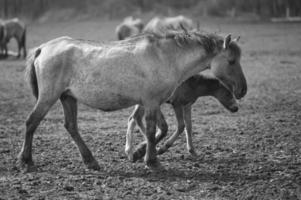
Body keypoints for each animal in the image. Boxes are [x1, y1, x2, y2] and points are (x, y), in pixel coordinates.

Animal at [17, 29, 246, 172]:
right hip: (48, 97)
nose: (242, 90)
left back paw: (90, 161)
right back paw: (26, 161)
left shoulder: (151, 102)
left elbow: (158, 128)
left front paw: (138, 152)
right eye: (231, 61)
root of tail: (43, 48)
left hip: (68, 98)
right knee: (31, 122)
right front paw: (151, 160)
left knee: (71, 126)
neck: (166, 57)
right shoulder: (152, 102)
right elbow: (153, 130)